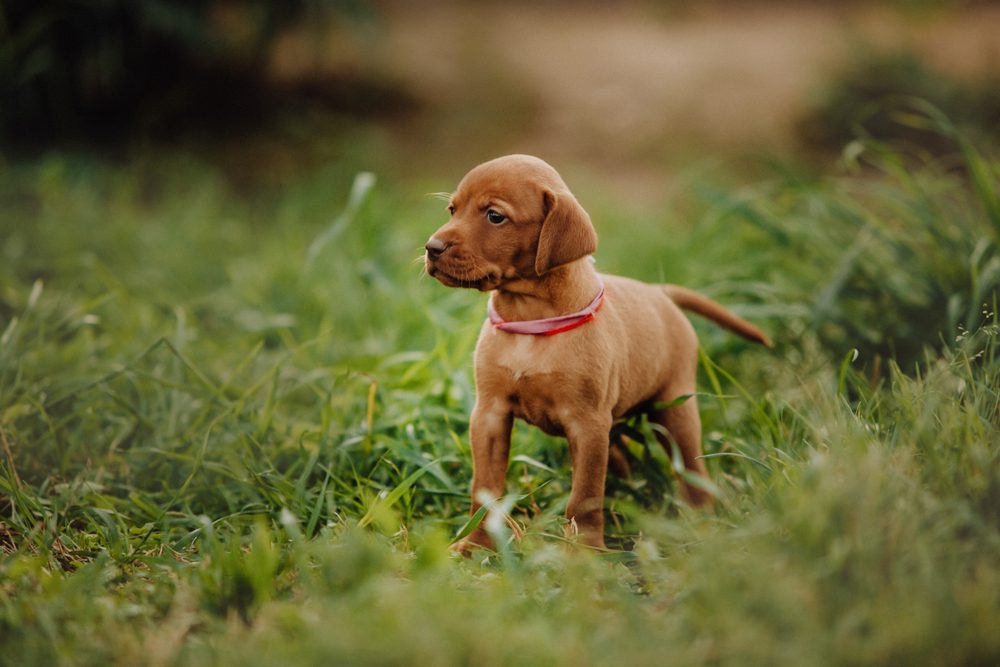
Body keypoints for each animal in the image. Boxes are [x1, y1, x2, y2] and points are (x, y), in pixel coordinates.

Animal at [426, 157, 768, 552]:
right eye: (453, 210)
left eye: (495, 216)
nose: (431, 247)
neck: (530, 319)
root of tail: (658, 292)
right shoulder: (490, 416)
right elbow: (485, 488)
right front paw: (477, 544)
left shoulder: (587, 424)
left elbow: (585, 496)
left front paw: (585, 553)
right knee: (620, 455)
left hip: (675, 409)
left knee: (692, 472)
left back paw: (701, 523)